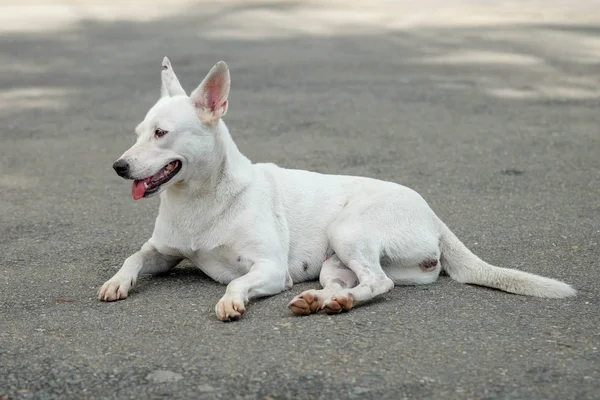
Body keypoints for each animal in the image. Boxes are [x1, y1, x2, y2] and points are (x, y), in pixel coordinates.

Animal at [98, 57, 576, 320]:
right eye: (138, 133)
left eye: (161, 133)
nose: (119, 167)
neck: (200, 200)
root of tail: (433, 215)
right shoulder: (162, 253)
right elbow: (134, 257)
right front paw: (117, 282)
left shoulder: (269, 269)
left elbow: (235, 285)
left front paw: (231, 303)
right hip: (335, 262)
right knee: (358, 282)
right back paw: (321, 300)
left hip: (348, 229)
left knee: (380, 282)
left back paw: (331, 302)